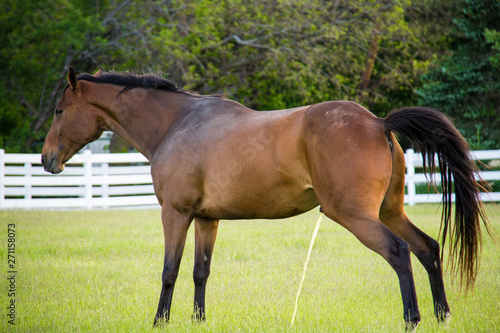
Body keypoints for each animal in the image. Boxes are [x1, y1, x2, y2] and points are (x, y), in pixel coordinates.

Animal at [42, 66, 488, 328]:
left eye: (60, 111)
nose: (47, 160)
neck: (179, 124)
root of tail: (378, 122)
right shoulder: (206, 219)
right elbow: (200, 272)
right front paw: (199, 321)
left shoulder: (176, 214)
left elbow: (169, 271)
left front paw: (159, 321)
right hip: (390, 211)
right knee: (428, 249)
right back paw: (442, 315)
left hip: (354, 215)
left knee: (399, 253)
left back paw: (413, 318)